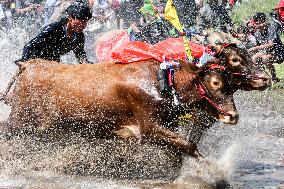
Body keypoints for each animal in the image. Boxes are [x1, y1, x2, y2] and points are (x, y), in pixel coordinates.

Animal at [2, 58, 237, 157]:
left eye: (232, 86)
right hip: (19, 120)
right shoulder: (148, 127)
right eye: (215, 83)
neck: (162, 82)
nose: (233, 116)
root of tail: (28, 64)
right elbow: (189, 144)